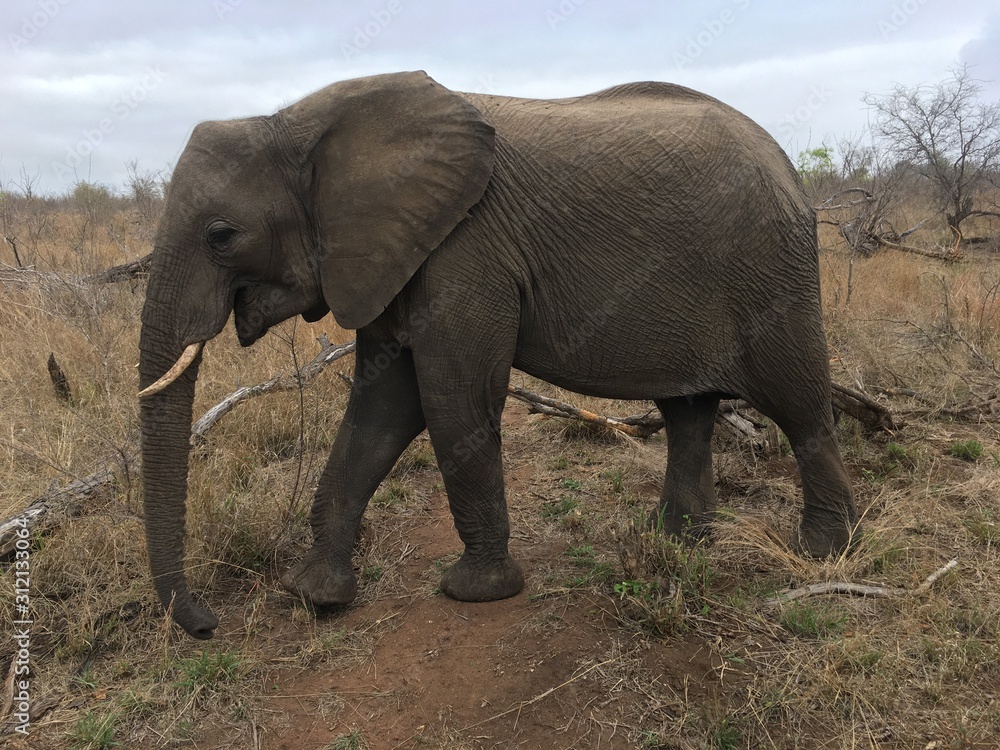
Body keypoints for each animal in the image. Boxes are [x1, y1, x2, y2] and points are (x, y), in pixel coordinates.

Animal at [138, 70, 857, 639]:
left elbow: (451, 400)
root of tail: (792, 169)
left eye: (222, 235)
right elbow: (381, 409)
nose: (207, 625)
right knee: (688, 411)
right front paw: (314, 595)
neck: (298, 121)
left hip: (771, 272)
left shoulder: (464, 250)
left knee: (800, 407)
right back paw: (673, 540)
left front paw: (475, 592)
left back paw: (823, 552)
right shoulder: (394, 256)